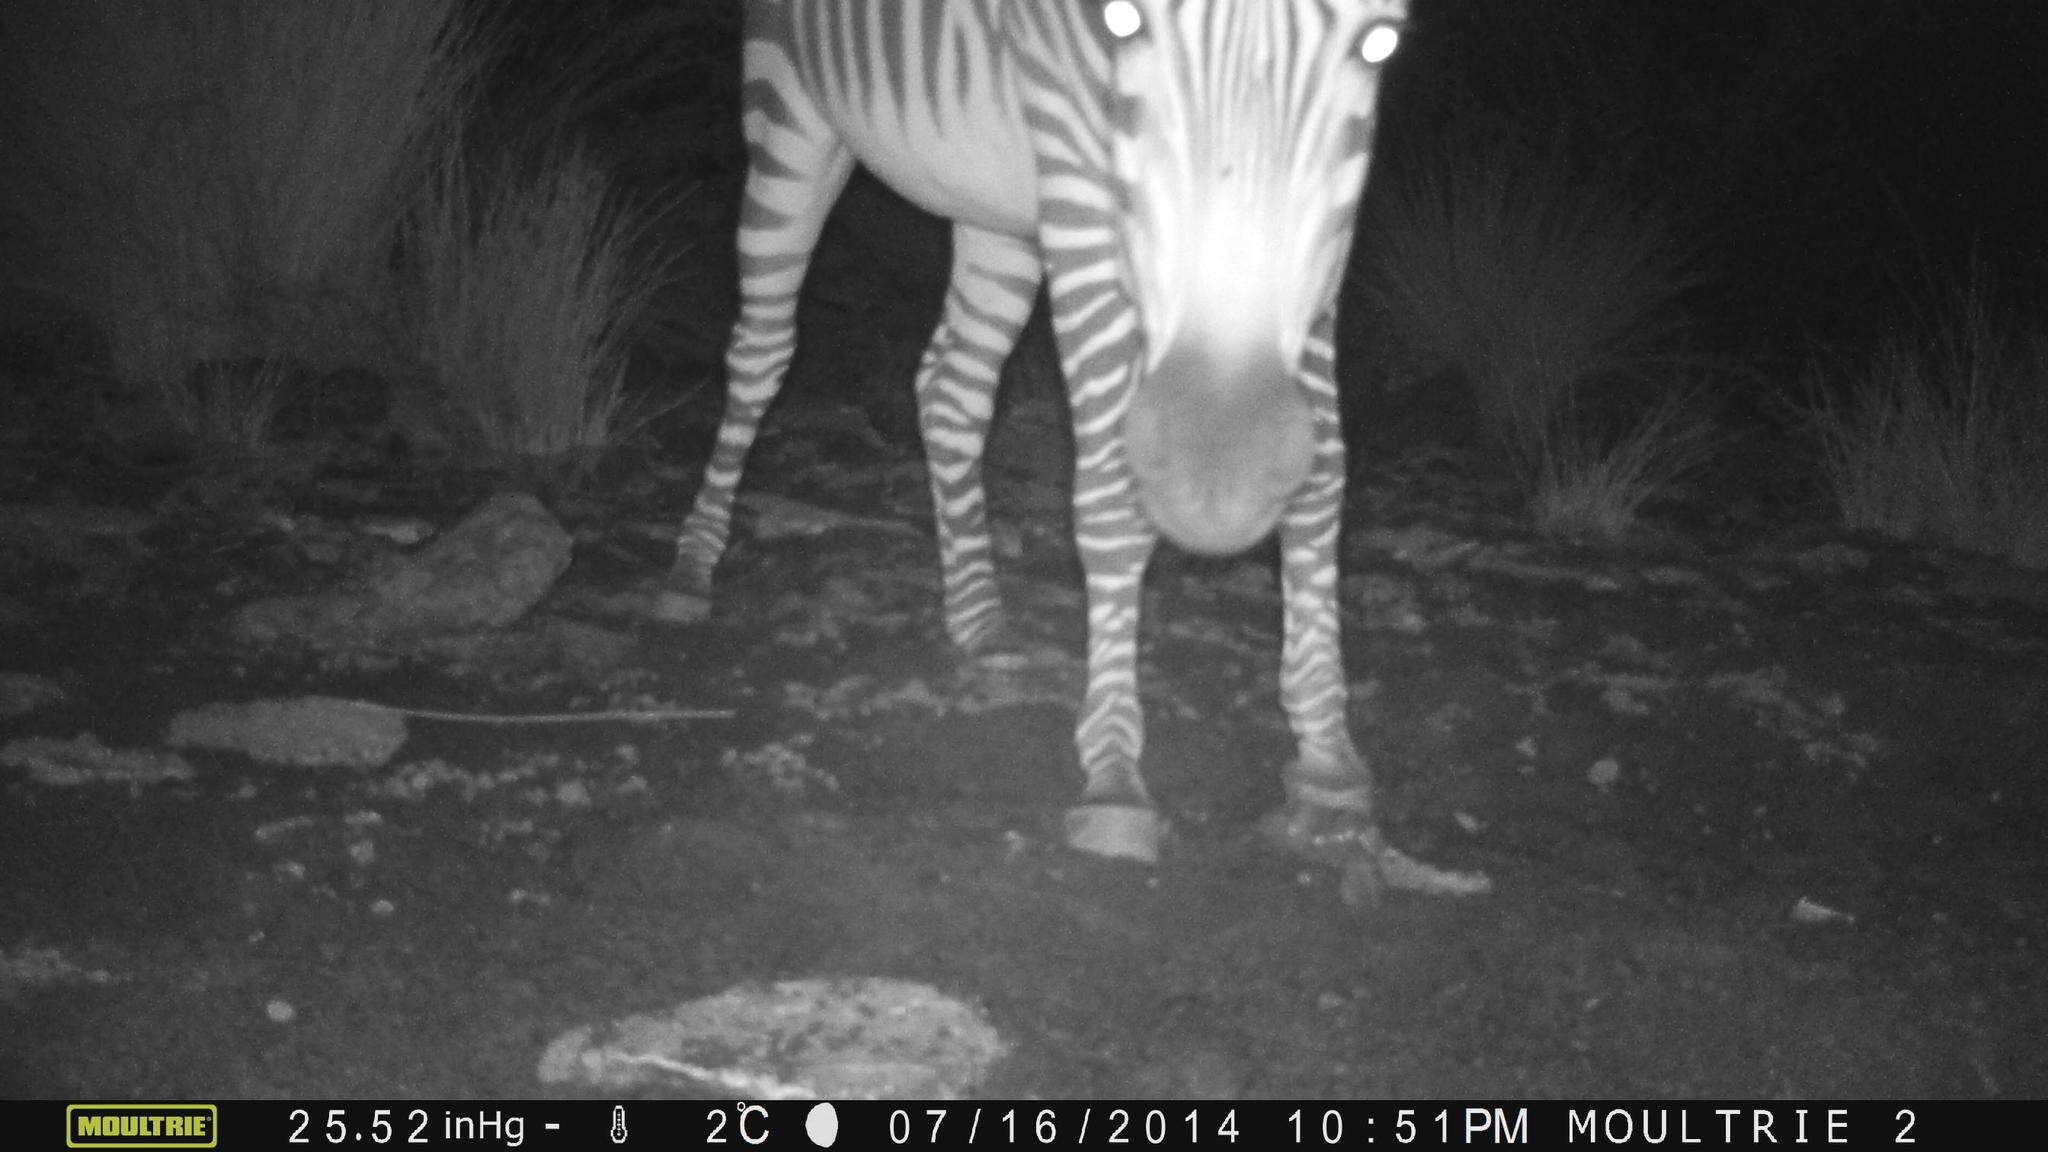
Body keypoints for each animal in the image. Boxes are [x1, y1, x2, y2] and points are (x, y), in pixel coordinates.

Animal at [663, 0, 1417, 877]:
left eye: (1380, 43)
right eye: (1125, 24)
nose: (1217, 480)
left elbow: (1324, 478)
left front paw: (1328, 759)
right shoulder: (1077, 155)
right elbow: (1113, 507)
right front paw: (1116, 774)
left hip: (995, 202)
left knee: (951, 389)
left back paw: (979, 619)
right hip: (793, 115)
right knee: (759, 352)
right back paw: (692, 565)